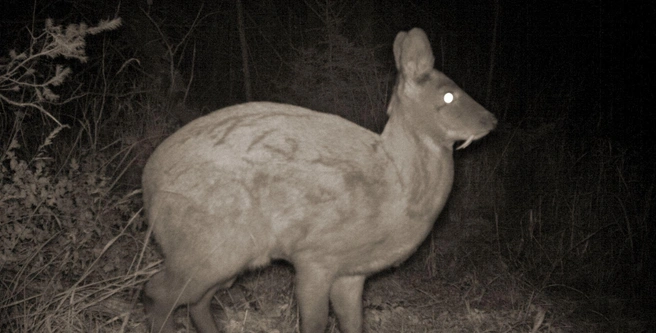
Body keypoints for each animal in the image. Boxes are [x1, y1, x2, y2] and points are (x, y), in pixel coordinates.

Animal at [141, 27, 494, 330]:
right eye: (448, 96)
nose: (491, 119)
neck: (396, 187)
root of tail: (148, 185)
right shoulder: (314, 256)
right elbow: (314, 323)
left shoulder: (352, 272)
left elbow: (353, 323)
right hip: (207, 247)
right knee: (158, 293)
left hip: (224, 258)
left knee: (195, 301)